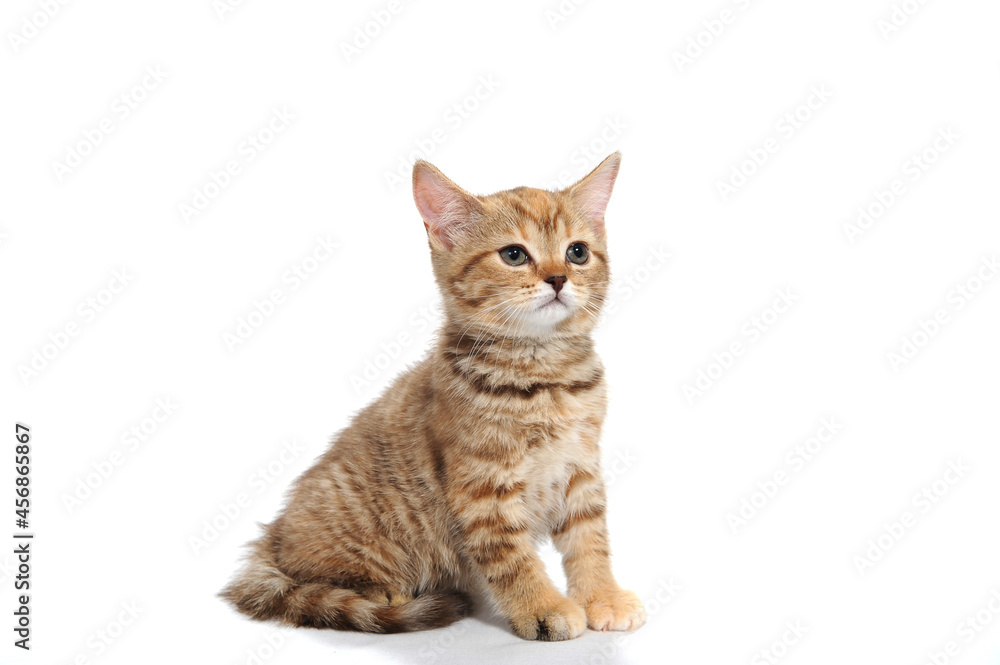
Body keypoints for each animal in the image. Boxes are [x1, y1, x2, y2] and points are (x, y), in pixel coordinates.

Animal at [220, 153, 644, 640]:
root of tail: (272, 539)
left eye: (577, 252)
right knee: (315, 582)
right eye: (514, 255)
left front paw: (602, 596)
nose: (558, 277)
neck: (544, 377)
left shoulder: (580, 467)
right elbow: (512, 557)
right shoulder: (482, 489)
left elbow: (589, 538)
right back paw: (387, 595)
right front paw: (542, 607)